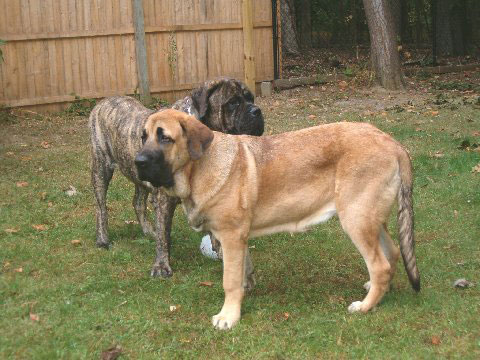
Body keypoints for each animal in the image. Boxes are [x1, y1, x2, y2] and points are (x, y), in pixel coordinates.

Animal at [88, 78, 264, 276]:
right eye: (233, 102)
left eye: (251, 98)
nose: (256, 111)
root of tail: (103, 101)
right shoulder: (164, 199)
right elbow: (164, 235)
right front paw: (161, 265)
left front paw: (222, 253)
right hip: (101, 168)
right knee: (101, 207)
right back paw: (103, 239)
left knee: (138, 202)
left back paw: (148, 231)